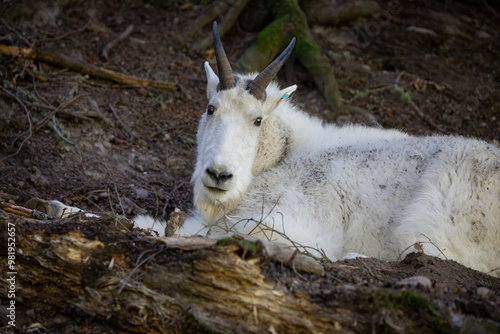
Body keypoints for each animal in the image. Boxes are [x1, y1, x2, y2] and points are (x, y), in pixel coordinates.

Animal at [183, 21, 500, 276]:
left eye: (257, 120)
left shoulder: (290, 222)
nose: (219, 175)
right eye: (211, 108)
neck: (285, 154)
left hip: (435, 220)